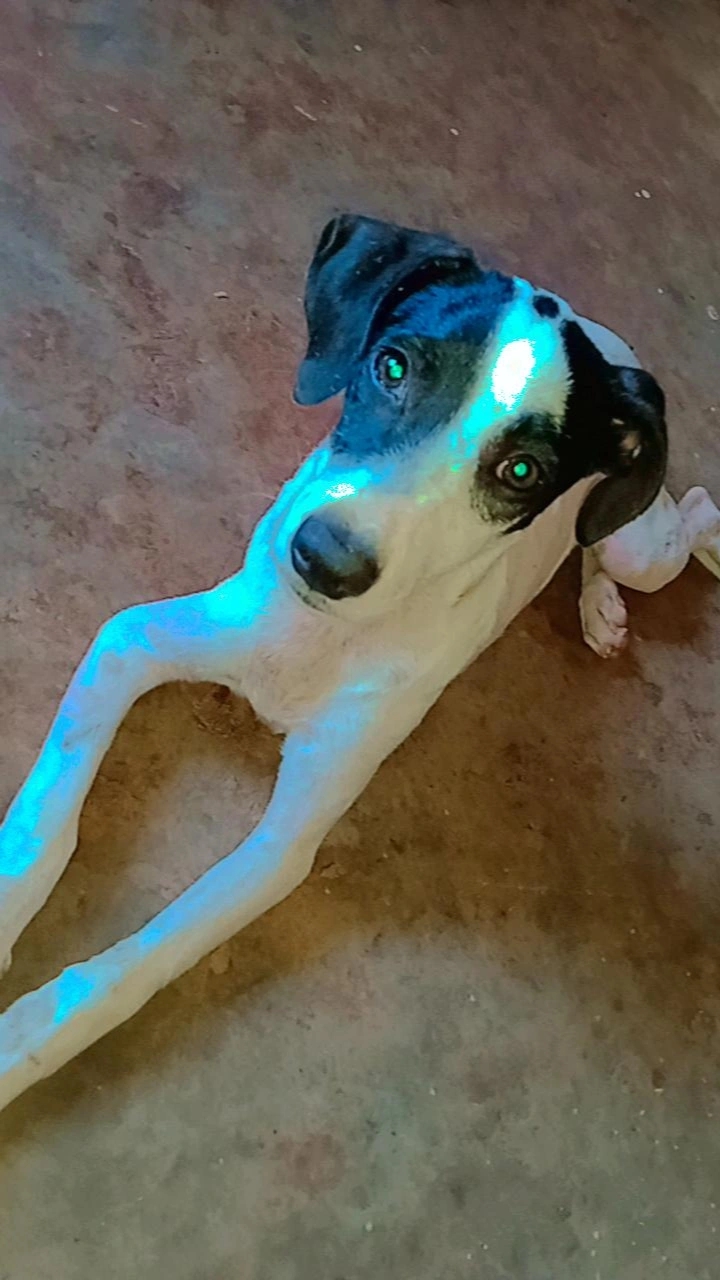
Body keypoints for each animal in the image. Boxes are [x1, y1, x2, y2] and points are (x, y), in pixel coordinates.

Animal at [1, 214, 719, 1113]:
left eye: (522, 471)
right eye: (393, 365)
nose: (322, 561)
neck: (325, 638)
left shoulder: (284, 841)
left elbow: (136, 964)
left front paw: (20, 1044)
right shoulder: (134, 640)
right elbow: (44, 823)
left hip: (640, 542)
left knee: (681, 519)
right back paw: (597, 608)